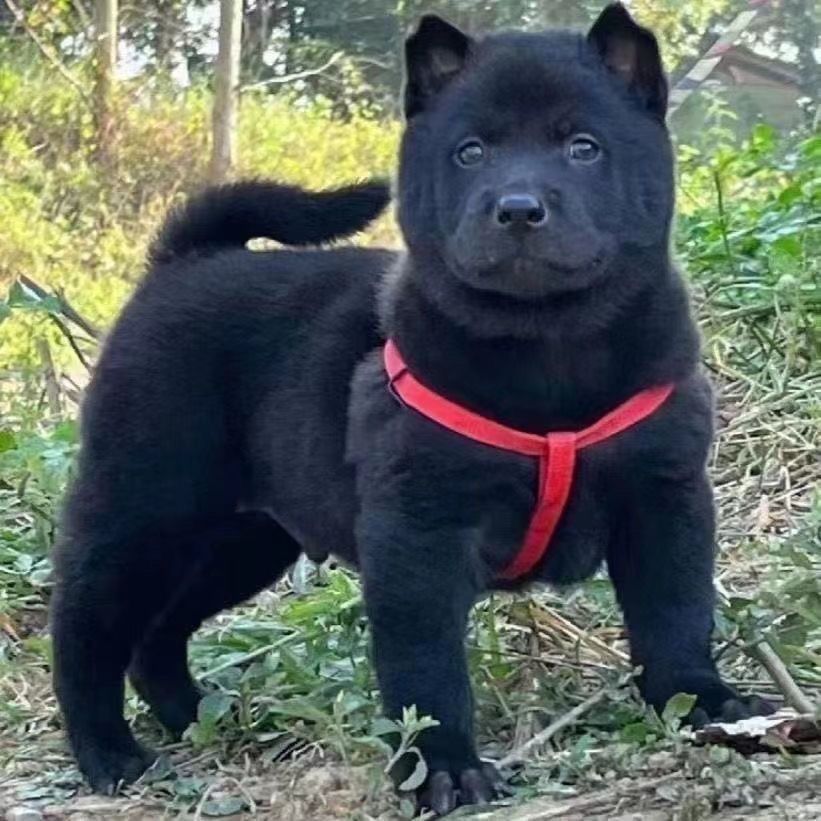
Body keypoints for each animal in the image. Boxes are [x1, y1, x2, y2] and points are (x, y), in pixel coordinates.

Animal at [51, 4, 768, 812]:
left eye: (583, 147)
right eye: (470, 152)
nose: (517, 208)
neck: (549, 345)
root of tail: (185, 260)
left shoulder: (664, 497)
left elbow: (675, 616)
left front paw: (705, 701)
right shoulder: (418, 531)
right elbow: (426, 667)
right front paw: (443, 766)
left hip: (245, 537)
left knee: (159, 633)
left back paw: (201, 716)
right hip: (142, 509)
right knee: (85, 629)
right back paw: (109, 753)